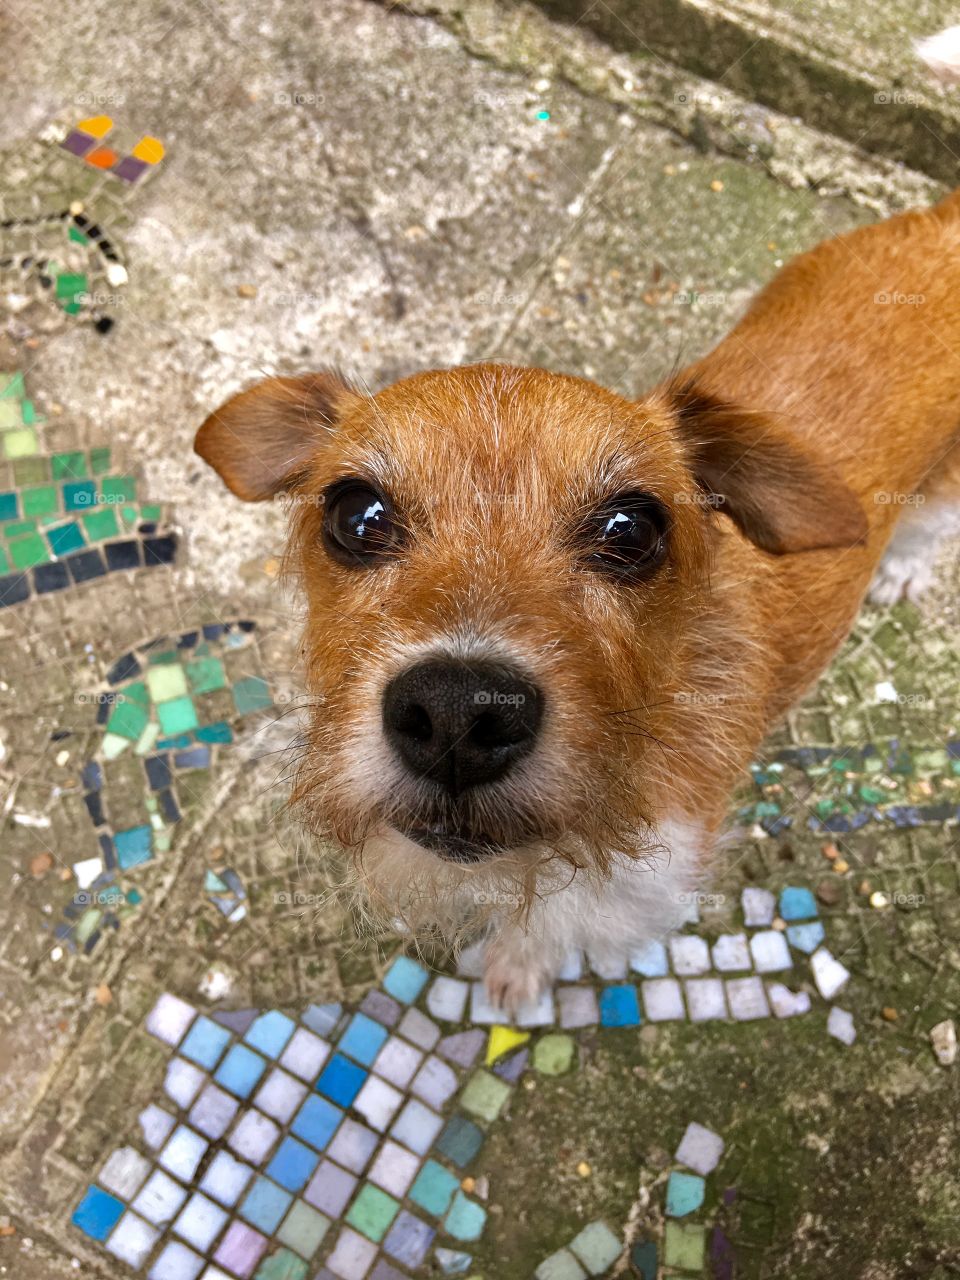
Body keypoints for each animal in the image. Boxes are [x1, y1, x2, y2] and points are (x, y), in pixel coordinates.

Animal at [195, 189, 960, 1008]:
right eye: (356, 515)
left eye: (632, 529)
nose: (458, 714)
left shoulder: (646, 881)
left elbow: (555, 924)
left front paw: (519, 965)